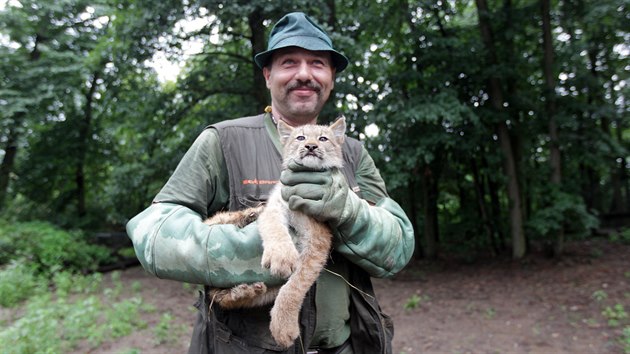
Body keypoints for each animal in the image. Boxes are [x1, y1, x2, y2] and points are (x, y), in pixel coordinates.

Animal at [205, 117, 348, 348]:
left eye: (323, 139)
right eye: (300, 137)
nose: (310, 146)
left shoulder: (318, 239)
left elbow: (295, 285)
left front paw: (283, 327)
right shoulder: (276, 205)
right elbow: (274, 227)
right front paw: (281, 256)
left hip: (264, 289)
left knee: (220, 295)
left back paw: (243, 291)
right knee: (212, 222)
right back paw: (246, 215)